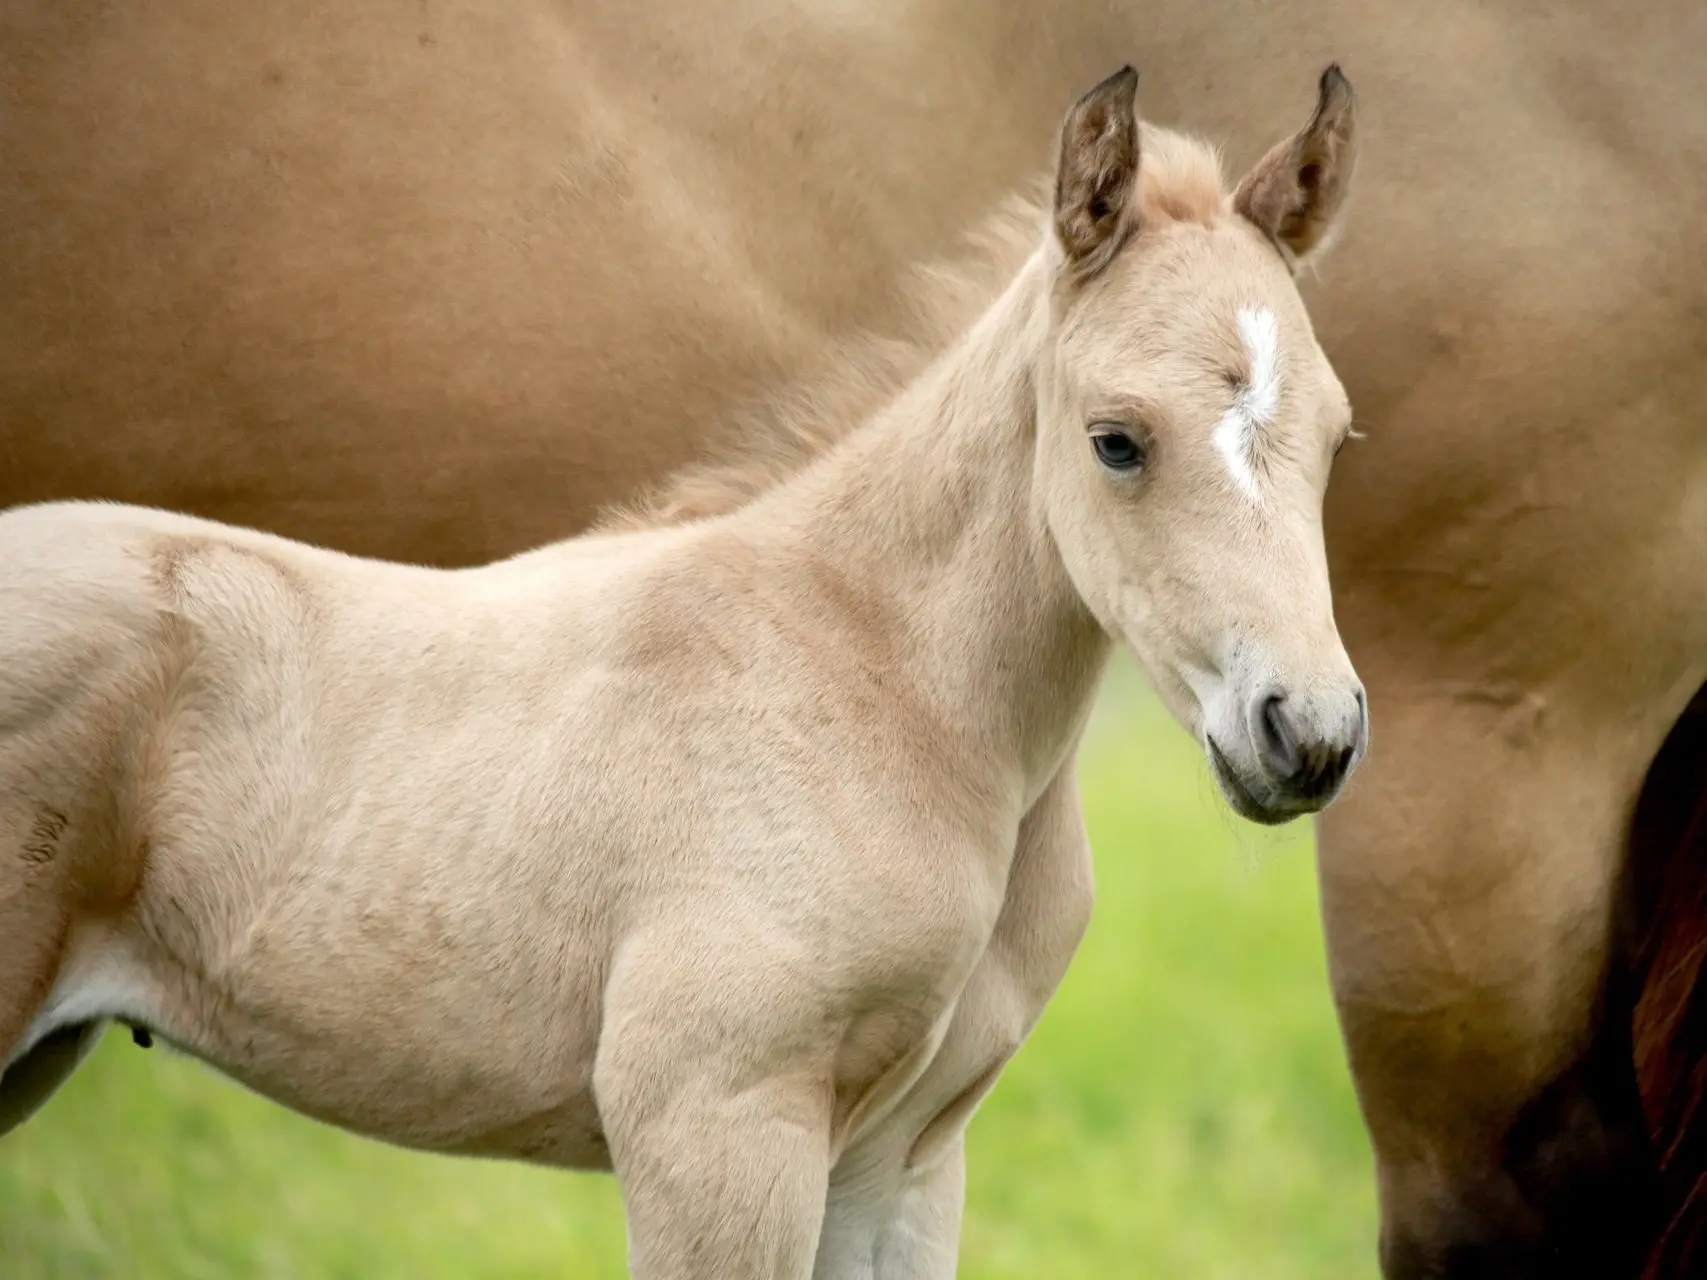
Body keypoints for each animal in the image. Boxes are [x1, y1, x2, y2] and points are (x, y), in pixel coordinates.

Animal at [3, 2, 1707, 1280]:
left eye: (1339, 439)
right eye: (1115, 440)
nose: (1307, 736)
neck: (867, 676)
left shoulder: (899, 1159)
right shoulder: (712, 1126)